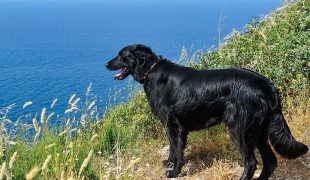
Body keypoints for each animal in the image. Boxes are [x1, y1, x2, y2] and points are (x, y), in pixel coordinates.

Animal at [106, 44, 308, 179]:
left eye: (121, 55)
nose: (106, 64)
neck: (151, 71)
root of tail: (267, 85)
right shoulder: (176, 127)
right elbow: (172, 149)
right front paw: (169, 163)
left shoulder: (173, 125)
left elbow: (177, 151)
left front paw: (174, 171)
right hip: (258, 131)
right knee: (270, 161)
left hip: (239, 130)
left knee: (251, 162)